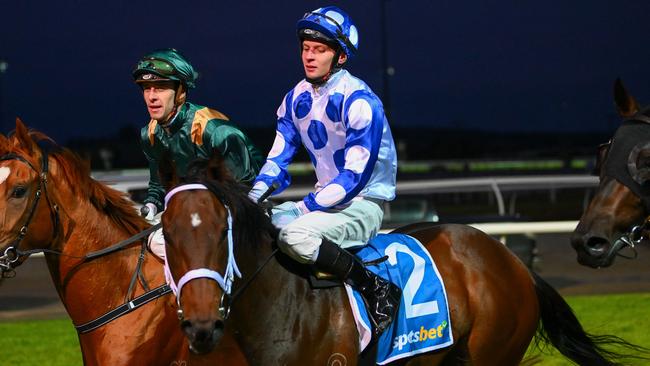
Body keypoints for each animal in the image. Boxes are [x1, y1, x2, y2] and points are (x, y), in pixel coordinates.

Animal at [156, 152, 644, 366]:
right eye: (167, 235)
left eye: (222, 233)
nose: (201, 327)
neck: (280, 304)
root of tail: (512, 260)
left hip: (492, 353)